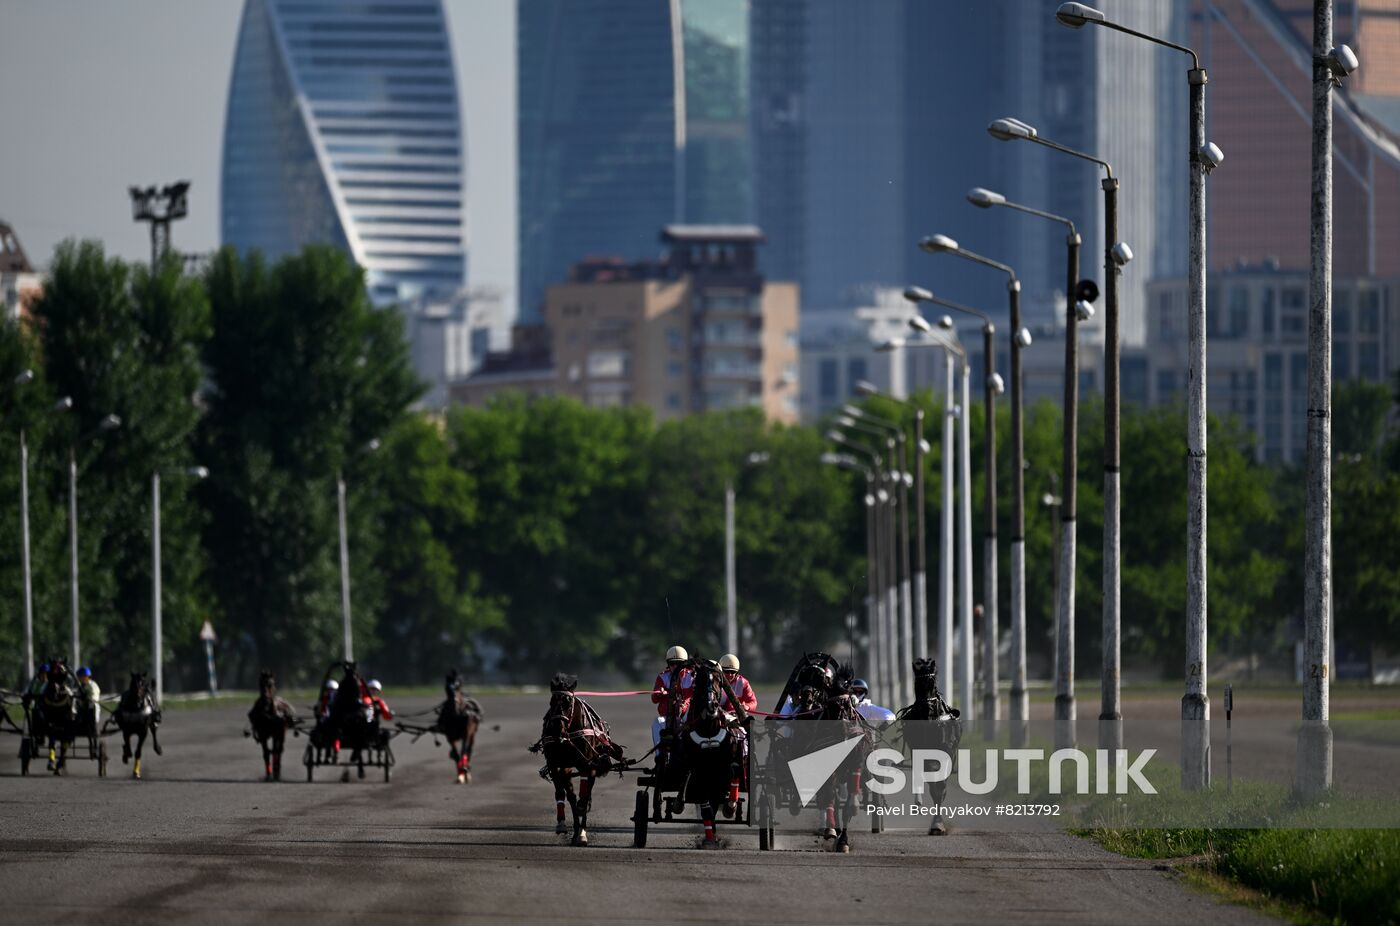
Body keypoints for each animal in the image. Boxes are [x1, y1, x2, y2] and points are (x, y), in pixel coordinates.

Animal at [532, 672, 627, 846]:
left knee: (586, 793)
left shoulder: (586, 763)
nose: (557, 729)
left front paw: (582, 830)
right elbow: (561, 793)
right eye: (551, 702)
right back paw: (576, 830)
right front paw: (562, 824)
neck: (568, 734)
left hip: (593, 764)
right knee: (572, 796)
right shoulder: (556, 764)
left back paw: (581, 831)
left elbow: (584, 796)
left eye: (568, 703)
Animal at [674, 658, 744, 846]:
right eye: (699, 680)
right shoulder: (698, 770)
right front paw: (710, 839)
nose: (711, 705)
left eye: (719, 680)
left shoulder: (724, 765)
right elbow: (706, 805)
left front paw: (729, 806)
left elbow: (731, 775)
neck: (708, 731)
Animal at [896, 652, 963, 834]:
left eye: (932, 683)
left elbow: (940, 787)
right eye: (917, 684)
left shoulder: (947, 751)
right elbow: (931, 781)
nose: (928, 710)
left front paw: (938, 824)